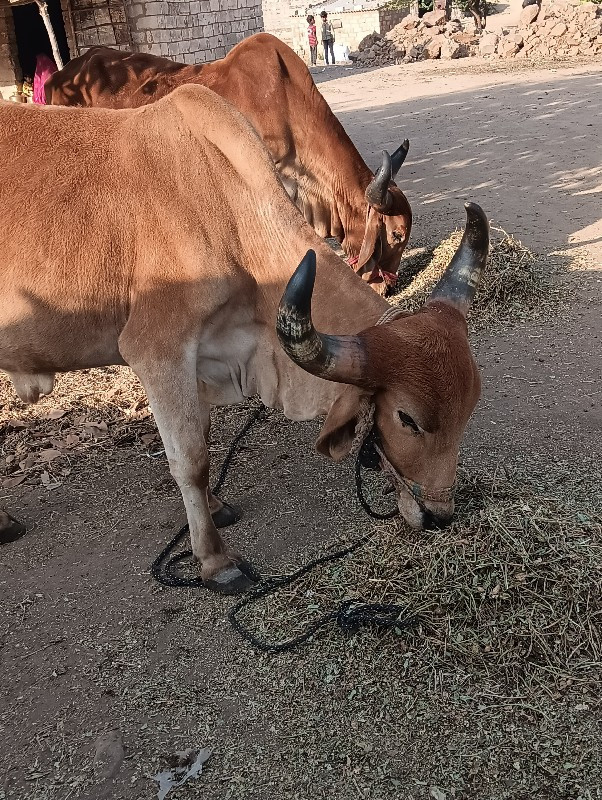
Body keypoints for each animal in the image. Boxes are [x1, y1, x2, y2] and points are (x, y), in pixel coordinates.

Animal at [0, 87, 486, 592]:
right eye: (407, 419)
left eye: (469, 408)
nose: (439, 514)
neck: (227, 214)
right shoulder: (158, 350)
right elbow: (190, 460)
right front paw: (215, 560)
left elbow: (203, 437)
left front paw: (214, 509)